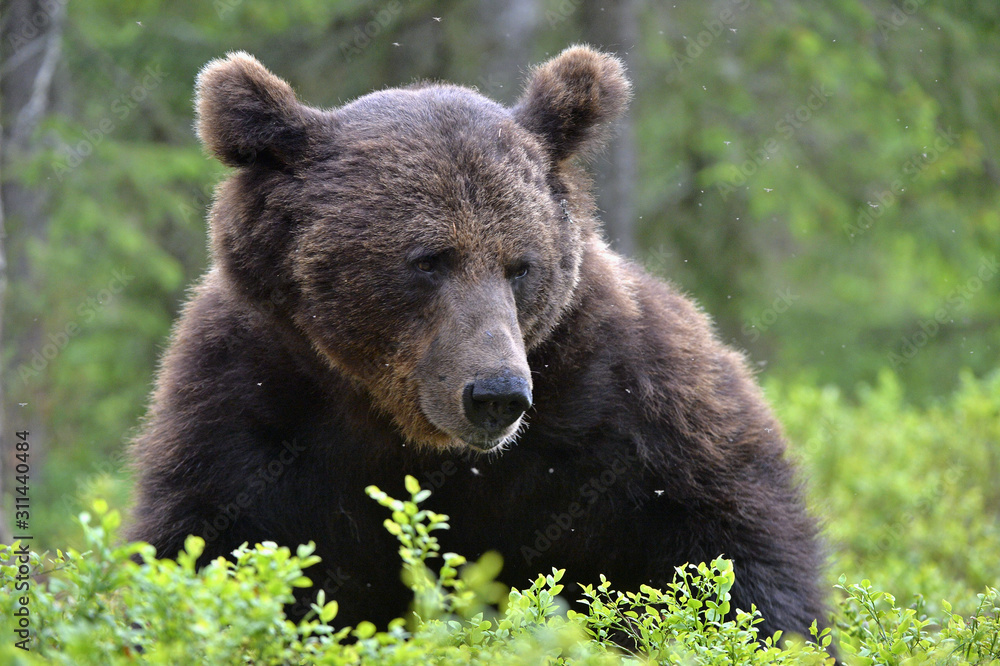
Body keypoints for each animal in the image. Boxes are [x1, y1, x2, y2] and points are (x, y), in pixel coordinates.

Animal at [127, 45, 828, 640]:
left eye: (521, 265)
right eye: (428, 259)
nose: (495, 395)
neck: (405, 430)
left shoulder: (628, 409)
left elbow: (733, 562)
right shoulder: (251, 410)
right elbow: (210, 548)